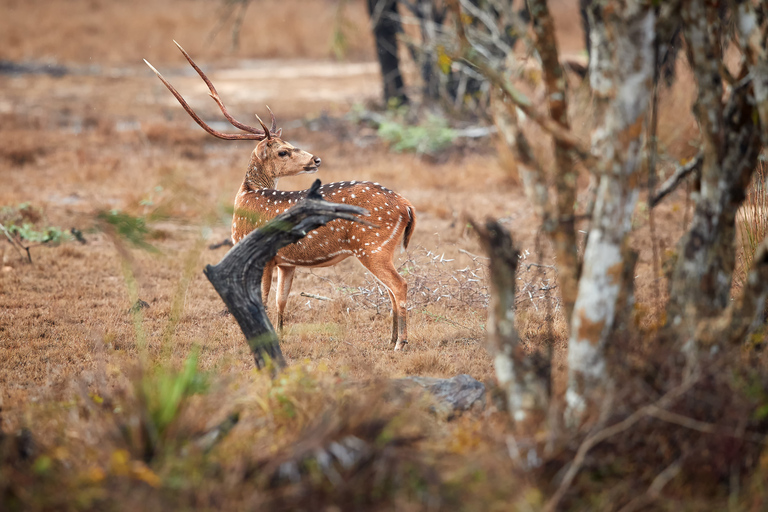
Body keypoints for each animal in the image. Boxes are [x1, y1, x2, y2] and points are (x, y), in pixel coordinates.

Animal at [144, 44, 414, 350]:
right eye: (283, 150)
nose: (316, 159)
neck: (247, 197)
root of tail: (406, 206)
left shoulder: (264, 256)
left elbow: (261, 300)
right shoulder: (285, 262)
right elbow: (281, 300)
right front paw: (282, 335)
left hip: (372, 246)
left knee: (399, 285)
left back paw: (401, 343)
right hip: (379, 249)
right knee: (390, 288)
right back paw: (390, 339)